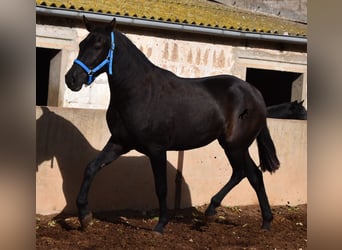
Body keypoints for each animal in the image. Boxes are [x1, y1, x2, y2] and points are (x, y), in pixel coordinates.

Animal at [65, 16, 280, 233]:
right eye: (82, 44)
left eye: (99, 45)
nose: (71, 79)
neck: (139, 92)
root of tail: (255, 94)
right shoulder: (119, 143)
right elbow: (91, 168)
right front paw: (84, 216)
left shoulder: (157, 149)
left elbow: (161, 188)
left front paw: (160, 224)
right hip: (239, 147)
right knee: (254, 175)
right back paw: (265, 222)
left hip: (234, 146)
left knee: (240, 173)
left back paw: (210, 212)